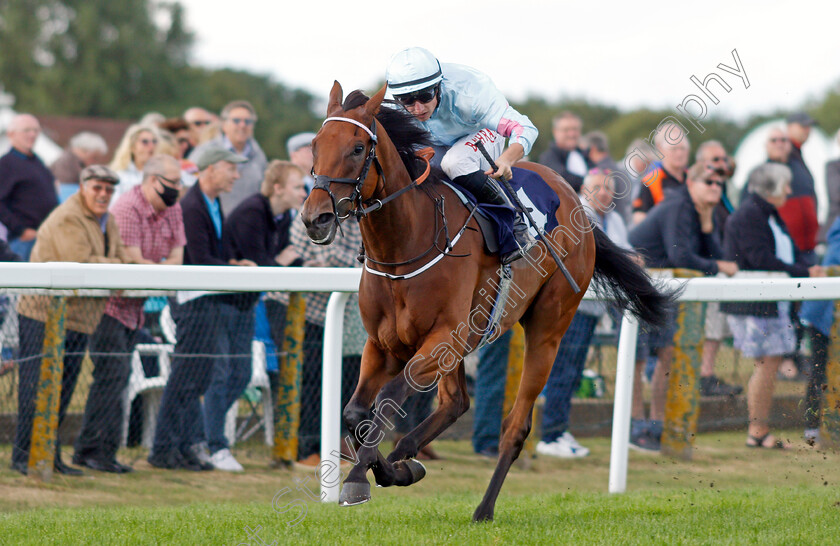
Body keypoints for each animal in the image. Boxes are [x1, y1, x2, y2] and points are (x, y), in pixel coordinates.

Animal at [300, 83, 668, 520]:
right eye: (315, 144)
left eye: (358, 148)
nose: (315, 218)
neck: (407, 243)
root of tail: (574, 197)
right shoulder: (383, 343)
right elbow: (355, 413)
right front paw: (392, 469)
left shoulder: (443, 337)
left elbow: (387, 399)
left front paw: (359, 479)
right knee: (456, 402)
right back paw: (407, 457)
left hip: (547, 330)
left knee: (515, 426)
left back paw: (483, 508)